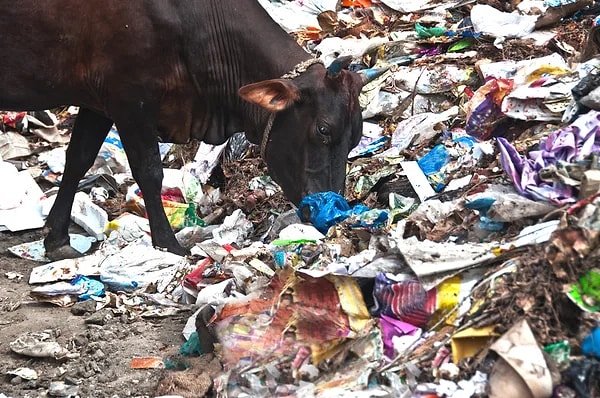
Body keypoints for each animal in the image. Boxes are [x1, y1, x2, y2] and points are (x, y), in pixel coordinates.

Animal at [0, 0, 366, 260]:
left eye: (356, 139)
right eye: (323, 129)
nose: (335, 213)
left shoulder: (98, 101)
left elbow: (79, 158)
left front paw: (57, 238)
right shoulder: (130, 98)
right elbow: (149, 172)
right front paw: (167, 244)